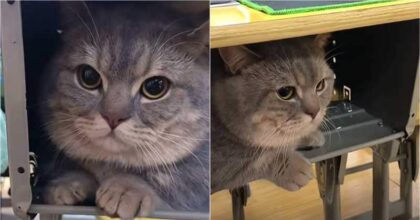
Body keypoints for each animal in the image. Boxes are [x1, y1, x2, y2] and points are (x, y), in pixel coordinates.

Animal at [39, 1, 208, 218]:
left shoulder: (198, 176)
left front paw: (127, 189)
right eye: (88, 76)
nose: (113, 117)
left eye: (155, 87)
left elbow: (170, 179)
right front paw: (67, 183)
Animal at [213, 35, 334, 192]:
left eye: (320, 85)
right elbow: (252, 162)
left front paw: (309, 134)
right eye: (285, 92)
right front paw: (294, 167)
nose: (315, 111)